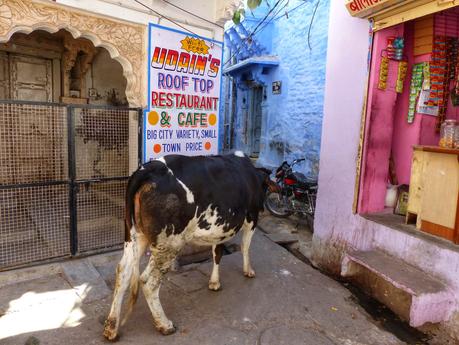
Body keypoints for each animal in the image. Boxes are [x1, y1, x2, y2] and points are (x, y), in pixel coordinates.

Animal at [104, 150, 274, 338]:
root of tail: (146, 169)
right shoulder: (252, 217)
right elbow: (245, 246)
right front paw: (248, 271)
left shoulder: (220, 228)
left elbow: (217, 253)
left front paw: (214, 282)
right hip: (169, 243)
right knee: (149, 282)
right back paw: (164, 324)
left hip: (135, 235)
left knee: (123, 272)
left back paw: (111, 327)